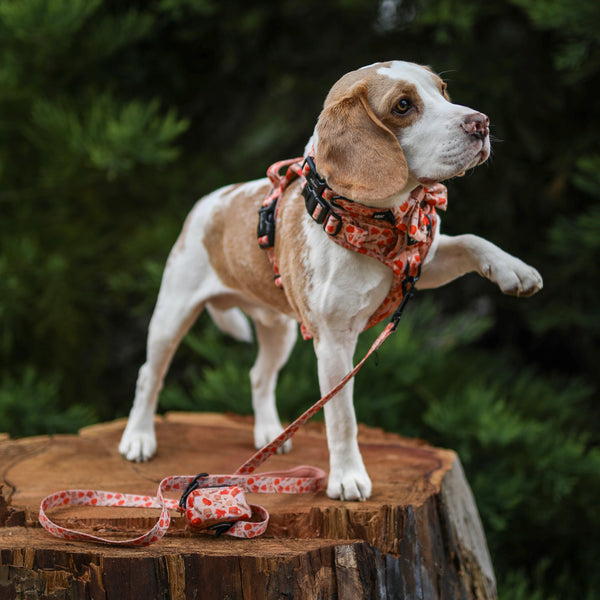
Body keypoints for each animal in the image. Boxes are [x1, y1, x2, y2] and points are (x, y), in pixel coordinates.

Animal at [118, 62, 544, 502]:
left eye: (443, 91)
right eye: (403, 105)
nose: (482, 123)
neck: (383, 223)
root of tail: (210, 201)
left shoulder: (422, 263)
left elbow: (471, 241)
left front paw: (514, 269)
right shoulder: (334, 344)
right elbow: (342, 418)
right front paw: (348, 477)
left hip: (279, 330)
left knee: (258, 376)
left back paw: (269, 434)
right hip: (172, 316)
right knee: (149, 376)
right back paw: (138, 438)